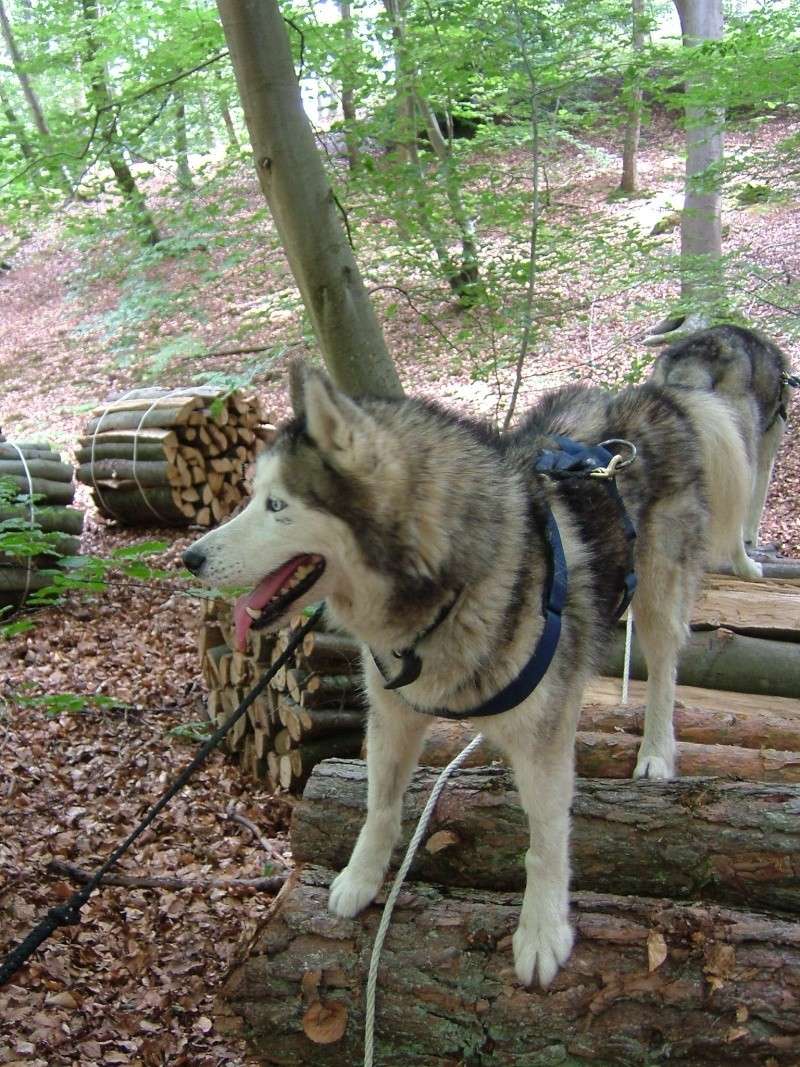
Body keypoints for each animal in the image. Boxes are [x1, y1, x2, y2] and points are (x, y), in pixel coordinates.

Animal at [186, 362, 763, 985]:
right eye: (251, 497)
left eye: (276, 505)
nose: (190, 559)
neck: (447, 591)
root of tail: (649, 394)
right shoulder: (391, 713)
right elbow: (379, 805)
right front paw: (361, 879)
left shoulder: (541, 741)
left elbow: (546, 840)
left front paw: (542, 932)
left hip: (657, 594)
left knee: (663, 670)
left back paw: (656, 749)